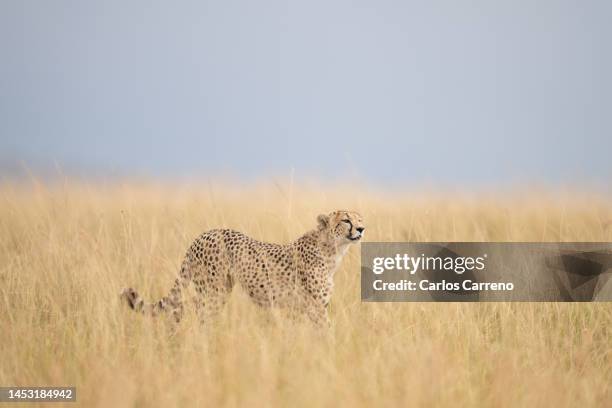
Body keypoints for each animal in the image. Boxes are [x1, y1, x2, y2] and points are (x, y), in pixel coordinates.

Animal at [122, 210, 366, 326]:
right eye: (346, 220)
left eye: (360, 219)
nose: (361, 228)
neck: (332, 249)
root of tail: (203, 235)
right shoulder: (315, 307)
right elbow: (326, 333)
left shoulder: (301, 308)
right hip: (213, 291)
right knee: (195, 311)